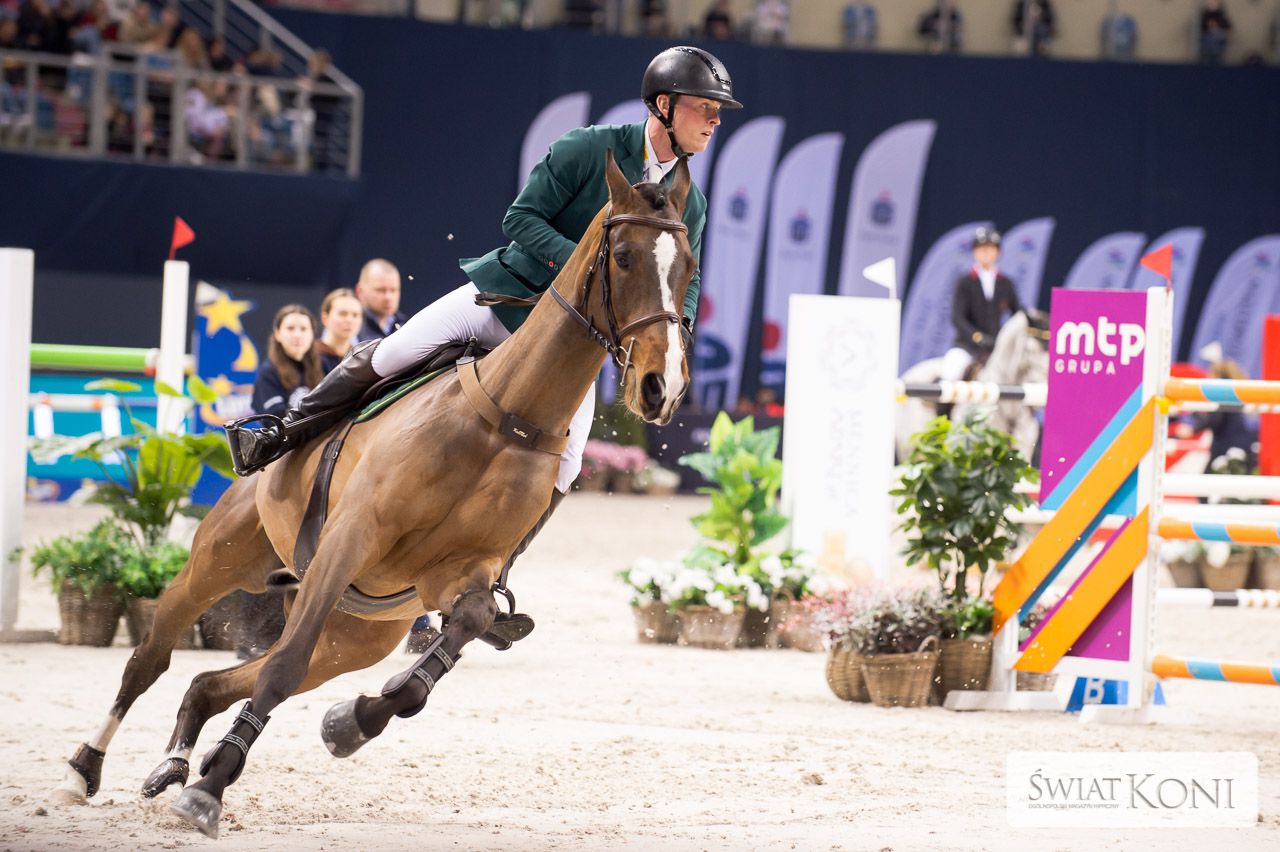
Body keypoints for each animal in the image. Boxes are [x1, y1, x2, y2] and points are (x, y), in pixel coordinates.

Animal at [49, 150, 697, 839]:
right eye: (623, 257)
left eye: (688, 266)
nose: (661, 387)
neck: (508, 417)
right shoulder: (350, 540)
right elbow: (280, 667)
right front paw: (213, 787)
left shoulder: (461, 575)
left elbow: (438, 652)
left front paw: (348, 724)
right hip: (221, 562)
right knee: (153, 658)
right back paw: (84, 770)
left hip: (354, 635)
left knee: (215, 681)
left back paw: (176, 761)